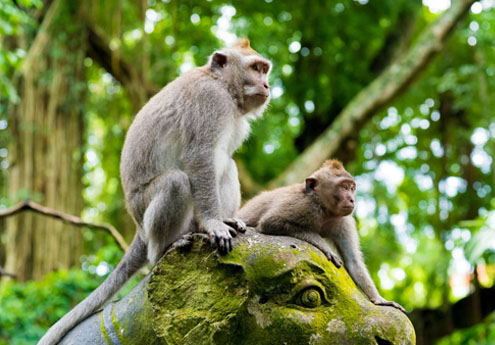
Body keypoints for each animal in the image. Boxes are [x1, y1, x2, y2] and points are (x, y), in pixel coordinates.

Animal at [38, 38, 272, 344]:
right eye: (255, 68)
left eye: (264, 69)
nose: (267, 85)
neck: (222, 86)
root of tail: (139, 228)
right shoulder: (210, 102)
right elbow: (200, 157)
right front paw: (213, 224)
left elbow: (217, 162)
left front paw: (220, 220)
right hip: (144, 207)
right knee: (177, 182)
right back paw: (164, 249)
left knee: (226, 165)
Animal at [239, 160, 406, 314]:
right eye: (344, 187)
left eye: (352, 188)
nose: (352, 199)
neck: (325, 210)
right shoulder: (302, 204)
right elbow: (270, 222)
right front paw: (325, 247)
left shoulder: (344, 221)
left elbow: (353, 262)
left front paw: (379, 299)